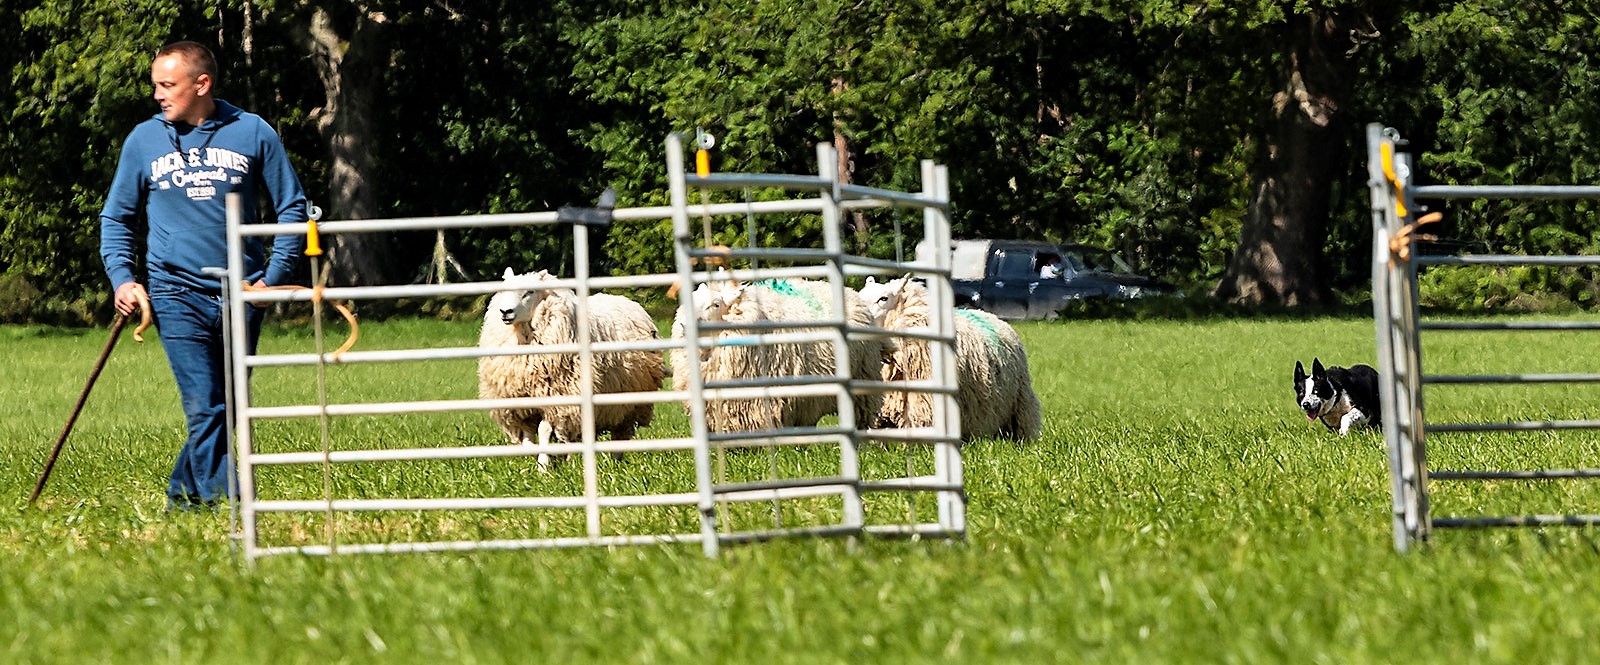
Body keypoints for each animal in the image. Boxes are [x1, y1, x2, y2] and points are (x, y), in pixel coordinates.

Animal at [478, 268, 665, 471]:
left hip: (627, 404)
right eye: (504, 291)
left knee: (619, 433)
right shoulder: (520, 406)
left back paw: (615, 462)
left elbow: (544, 430)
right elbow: (528, 440)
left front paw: (543, 465)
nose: (505, 312)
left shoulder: (557, 398)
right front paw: (544, 458)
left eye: (530, 292)